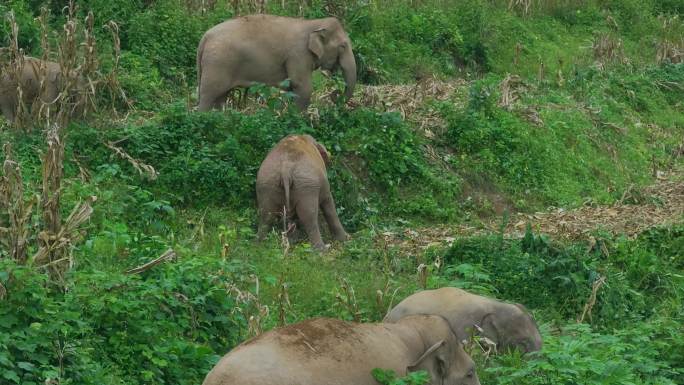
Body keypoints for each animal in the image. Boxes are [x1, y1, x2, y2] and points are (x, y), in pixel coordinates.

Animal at [194, 14, 358, 110]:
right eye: (343, 46)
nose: (335, 94)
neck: (313, 24)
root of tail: (205, 37)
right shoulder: (298, 55)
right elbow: (303, 87)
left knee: (220, 97)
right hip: (217, 65)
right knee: (209, 95)